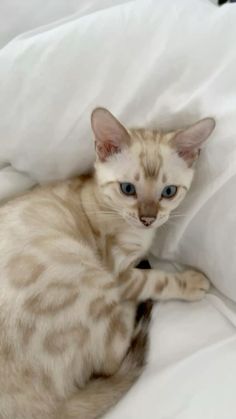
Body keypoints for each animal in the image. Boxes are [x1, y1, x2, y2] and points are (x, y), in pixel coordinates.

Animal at [0, 106, 216, 418]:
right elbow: (157, 280)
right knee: (113, 357)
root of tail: (44, 409)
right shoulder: (117, 271)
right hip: (86, 272)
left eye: (168, 192)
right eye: (128, 189)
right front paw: (189, 281)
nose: (148, 218)